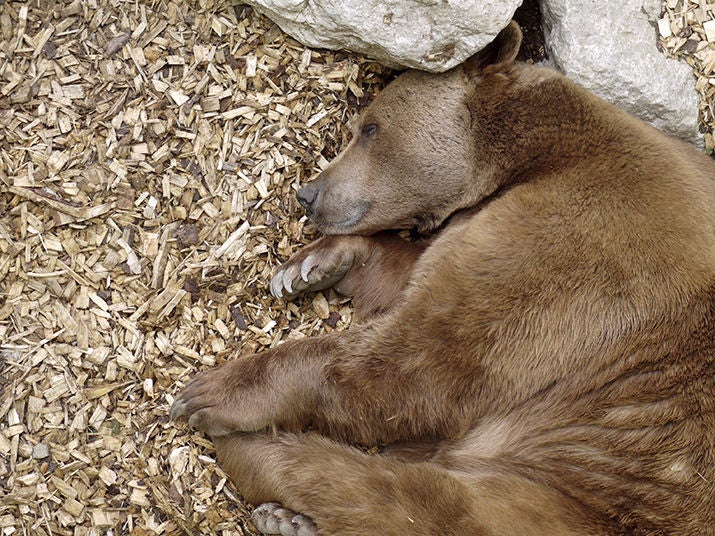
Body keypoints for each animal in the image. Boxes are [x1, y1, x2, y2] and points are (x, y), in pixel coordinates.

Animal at [171, 22, 715, 535]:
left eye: (370, 128)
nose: (309, 194)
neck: (527, 159)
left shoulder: (582, 241)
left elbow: (423, 356)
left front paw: (212, 392)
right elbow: (414, 274)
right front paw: (308, 267)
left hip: (589, 483)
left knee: (400, 498)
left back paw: (261, 454)